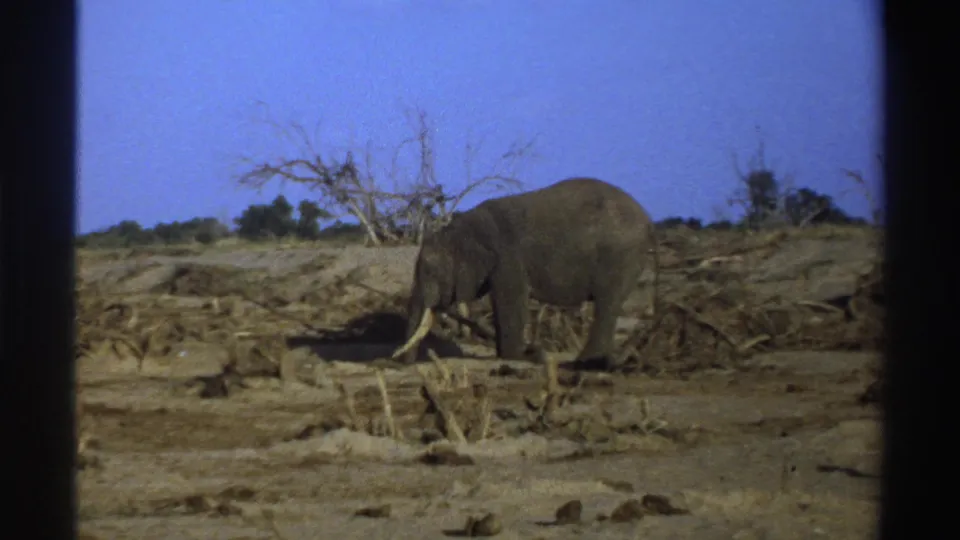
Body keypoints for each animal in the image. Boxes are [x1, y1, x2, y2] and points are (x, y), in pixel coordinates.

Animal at [392, 177, 659, 371]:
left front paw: (520, 355)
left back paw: (585, 363)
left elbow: (512, 300)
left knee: (607, 303)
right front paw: (513, 354)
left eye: (431, 272)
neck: (462, 228)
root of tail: (647, 220)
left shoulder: (509, 259)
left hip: (619, 255)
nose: (401, 363)